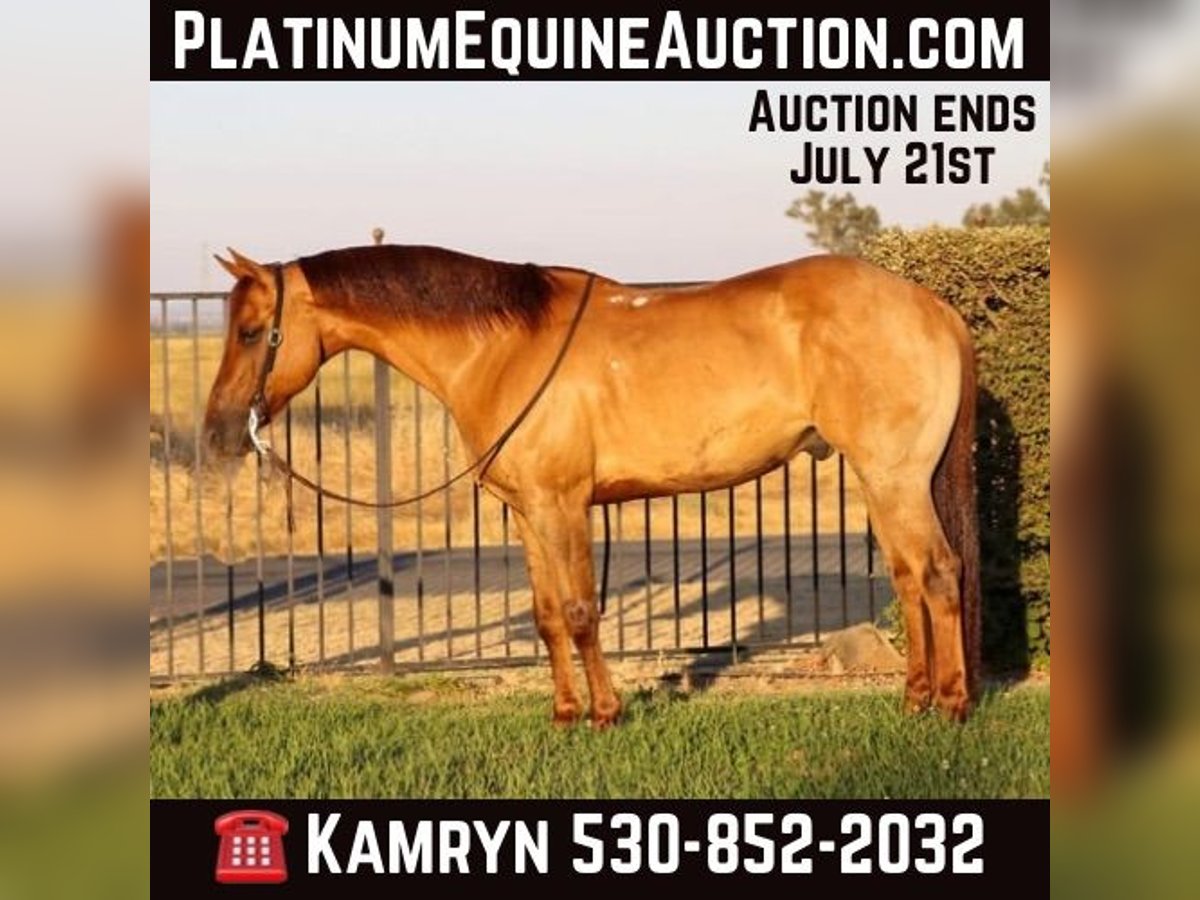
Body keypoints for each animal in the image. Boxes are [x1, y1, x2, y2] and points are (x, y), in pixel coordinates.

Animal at [204, 244, 981, 725]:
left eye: (251, 331)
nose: (217, 433)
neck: (504, 348)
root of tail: (931, 306)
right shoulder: (527, 513)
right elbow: (548, 616)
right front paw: (565, 714)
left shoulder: (564, 505)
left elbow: (580, 612)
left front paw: (606, 715)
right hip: (882, 479)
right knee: (909, 578)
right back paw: (915, 699)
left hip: (896, 477)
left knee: (939, 573)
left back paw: (952, 705)